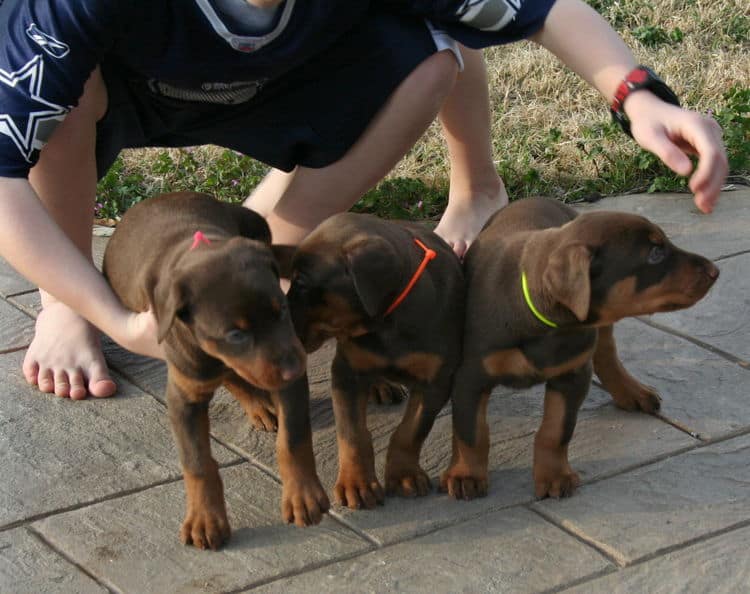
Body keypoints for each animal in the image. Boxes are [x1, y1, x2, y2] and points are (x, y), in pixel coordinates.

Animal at [103, 192, 328, 548]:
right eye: (236, 335)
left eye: (282, 310)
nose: (294, 369)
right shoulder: (183, 396)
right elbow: (197, 462)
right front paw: (205, 520)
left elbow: (292, 440)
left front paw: (303, 496)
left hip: (255, 222)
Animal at [286, 210, 468, 506]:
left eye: (301, 283)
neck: (384, 323)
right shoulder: (347, 372)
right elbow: (353, 434)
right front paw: (357, 483)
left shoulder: (436, 380)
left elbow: (411, 431)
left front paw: (404, 475)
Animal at [444, 198, 720, 500]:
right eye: (655, 253)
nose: (715, 271)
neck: (545, 320)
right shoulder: (470, 377)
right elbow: (472, 432)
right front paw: (466, 475)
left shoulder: (572, 375)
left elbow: (556, 430)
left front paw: (554, 476)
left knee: (606, 353)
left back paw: (632, 391)